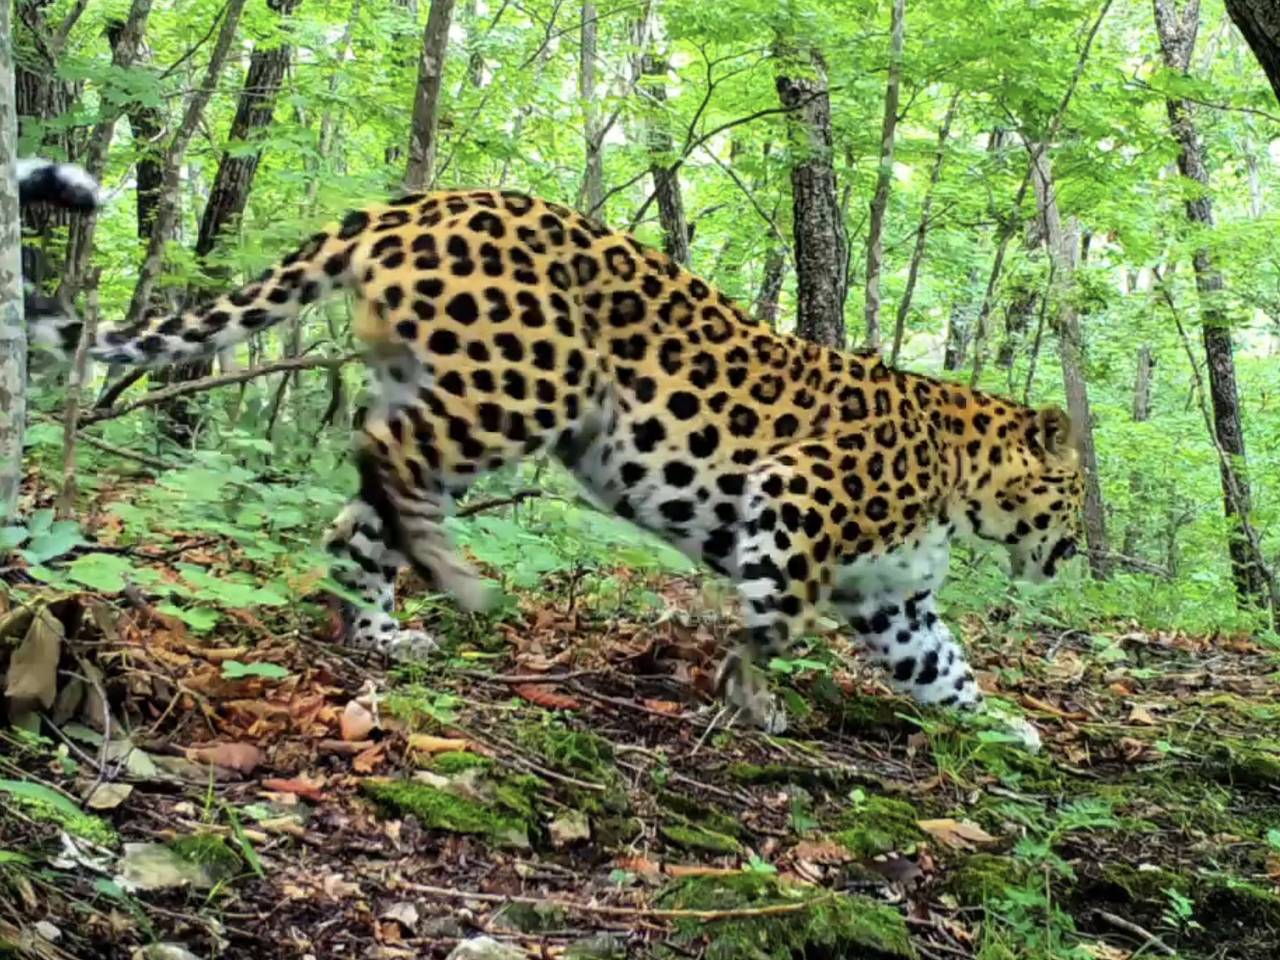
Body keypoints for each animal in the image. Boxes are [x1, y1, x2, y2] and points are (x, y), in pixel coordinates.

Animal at [62, 188, 1080, 737]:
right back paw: (452, 580)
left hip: (453, 386)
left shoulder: (892, 597)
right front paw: (749, 693)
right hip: (524, 387)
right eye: (1073, 495)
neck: (962, 479)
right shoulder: (798, 497)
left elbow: (943, 667)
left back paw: (384, 630)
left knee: (362, 513)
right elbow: (776, 619)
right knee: (382, 458)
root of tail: (421, 199)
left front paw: (1003, 725)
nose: (1073, 553)